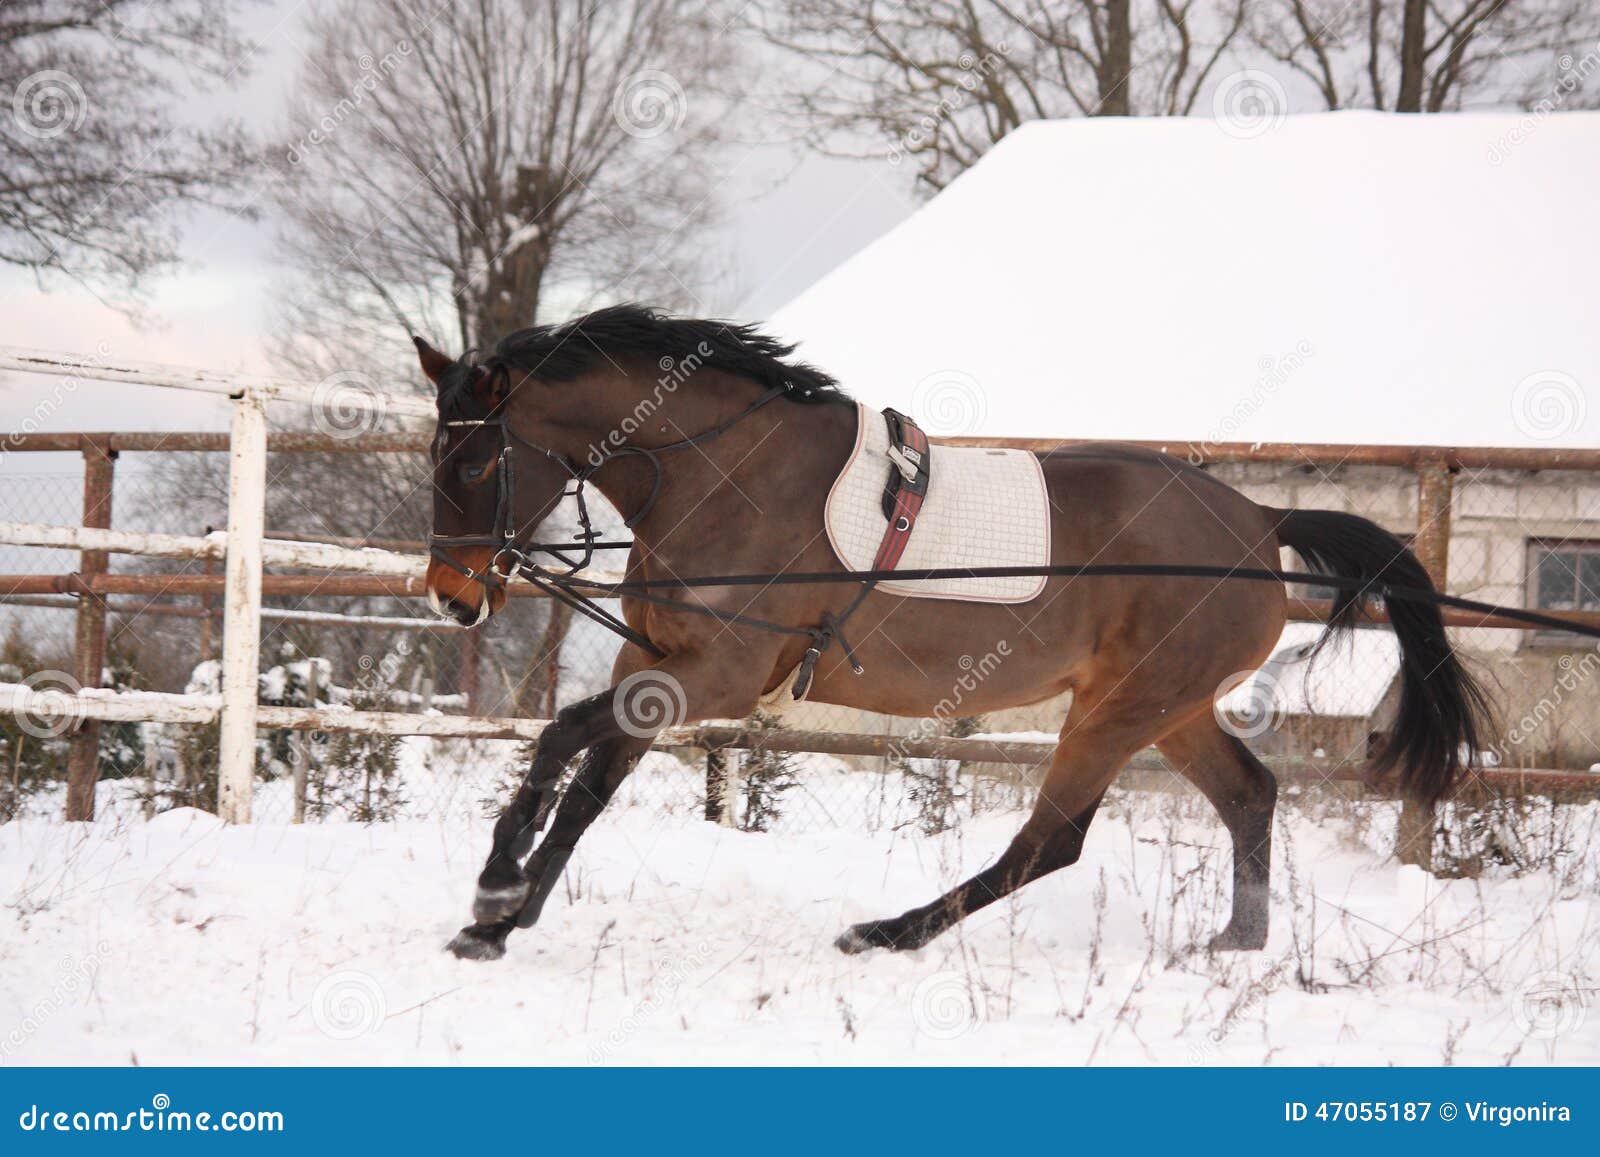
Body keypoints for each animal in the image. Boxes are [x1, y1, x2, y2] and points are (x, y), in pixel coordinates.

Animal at [418, 304, 1490, 963]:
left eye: (472, 462)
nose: (451, 599)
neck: (722, 476)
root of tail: (1262, 522)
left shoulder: (715, 673)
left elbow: (563, 736)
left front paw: (495, 888)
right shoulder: (653, 660)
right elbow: (588, 784)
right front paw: (503, 920)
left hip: (1120, 709)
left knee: (1049, 842)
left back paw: (887, 933)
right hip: (1166, 707)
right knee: (1248, 796)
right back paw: (1235, 943)